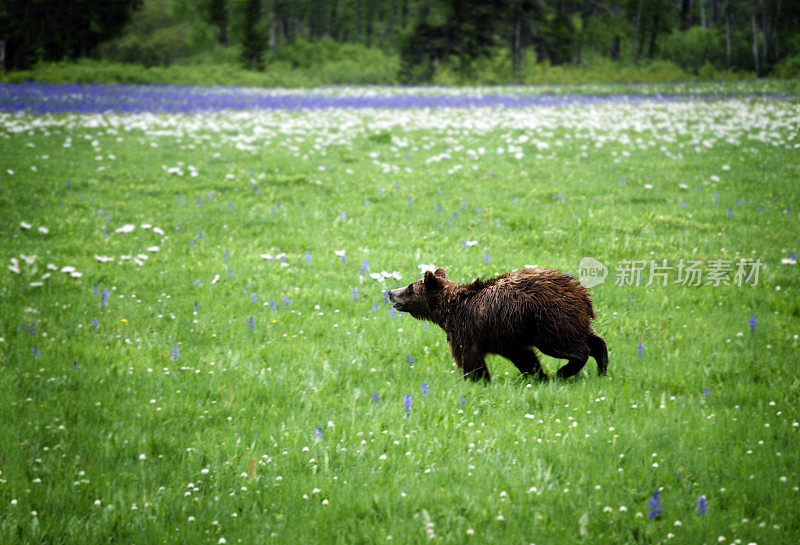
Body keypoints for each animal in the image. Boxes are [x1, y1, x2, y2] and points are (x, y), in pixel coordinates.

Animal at [388, 266, 608, 380]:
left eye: (409, 287)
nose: (390, 292)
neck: (448, 310)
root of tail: (580, 292)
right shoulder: (506, 336)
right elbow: (524, 356)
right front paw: (537, 375)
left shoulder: (467, 329)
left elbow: (469, 357)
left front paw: (476, 379)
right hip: (569, 319)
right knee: (591, 339)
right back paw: (602, 368)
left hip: (550, 319)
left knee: (566, 346)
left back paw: (565, 371)